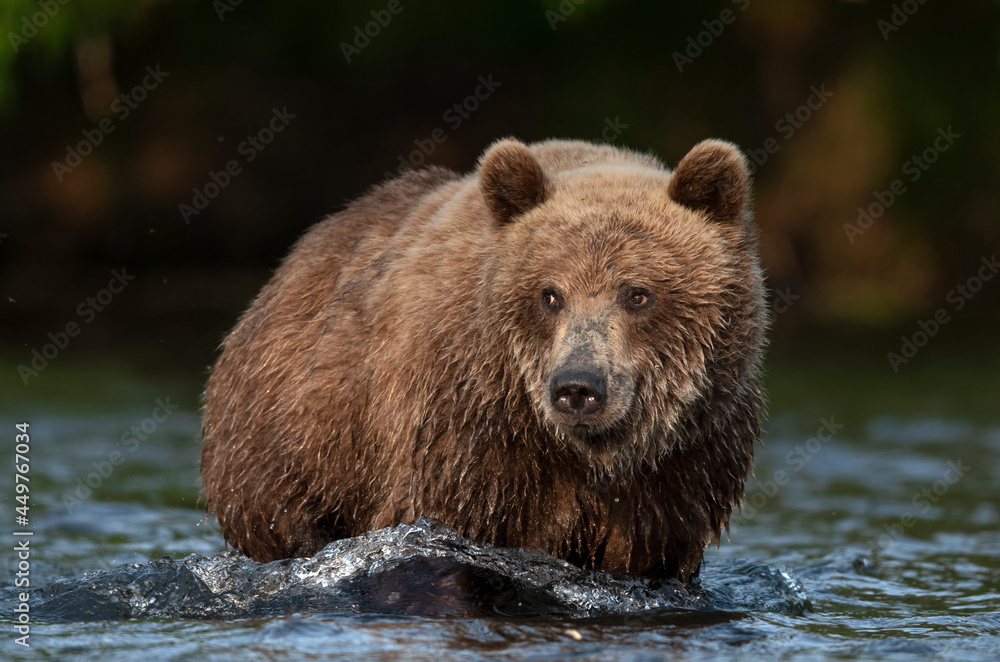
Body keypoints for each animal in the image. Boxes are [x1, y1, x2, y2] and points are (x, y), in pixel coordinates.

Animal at [200, 137, 766, 583]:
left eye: (638, 294)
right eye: (549, 294)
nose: (578, 386)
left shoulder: (685, 467)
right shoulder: (464, 434)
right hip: (291, 439)